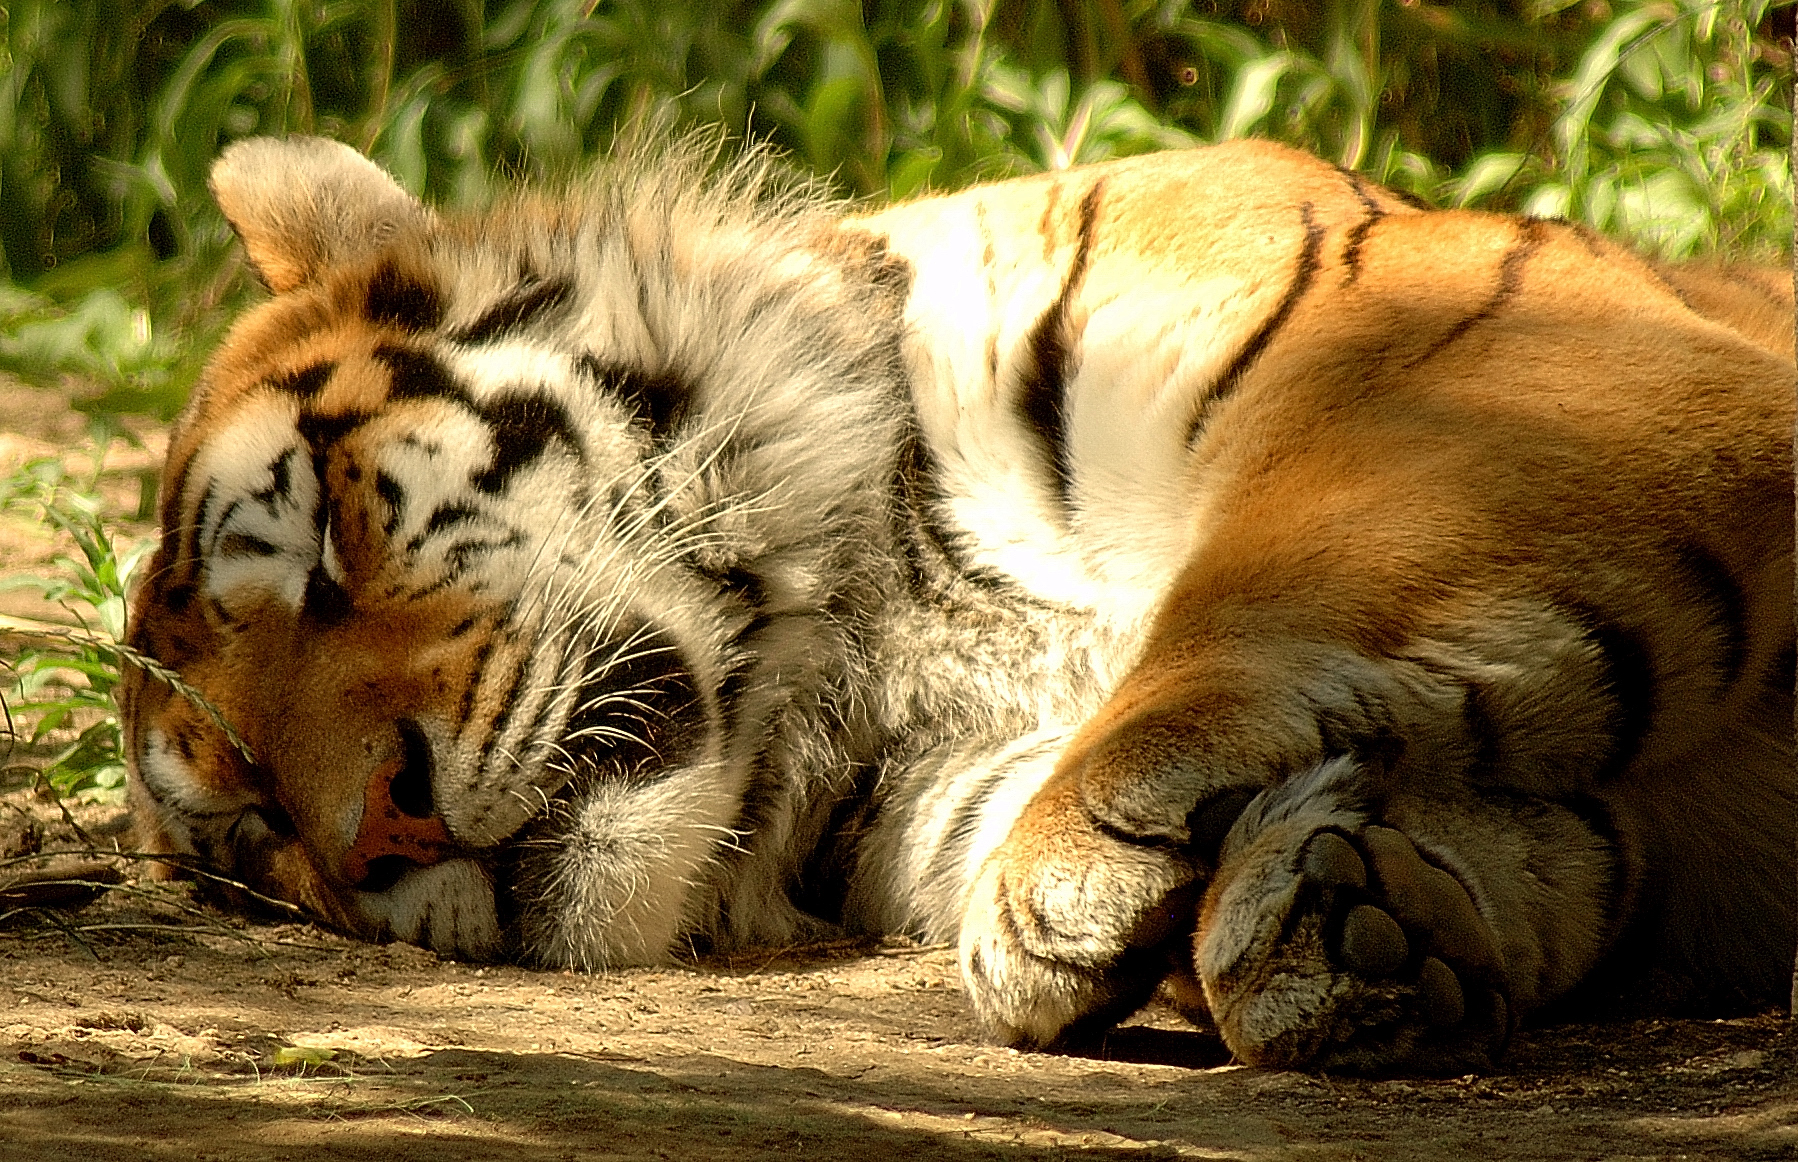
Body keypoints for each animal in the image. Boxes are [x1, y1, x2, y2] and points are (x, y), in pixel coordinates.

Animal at [119, 134, 1790, 1072]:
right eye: (261, 828)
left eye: (330, 543)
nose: (379, 834)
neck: (854, 628)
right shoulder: (933, 787)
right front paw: (1358, 920)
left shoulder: (1472, 370)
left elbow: (1269, 584)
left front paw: (1083, 865)